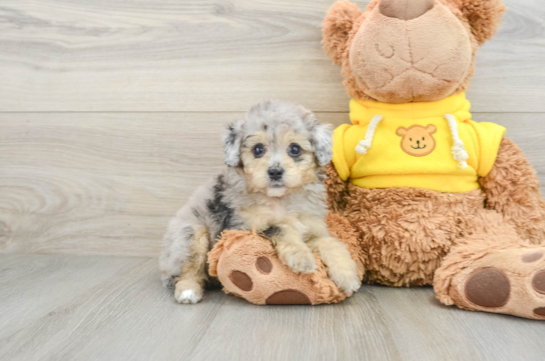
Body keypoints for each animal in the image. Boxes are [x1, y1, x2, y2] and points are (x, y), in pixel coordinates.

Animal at [159, 100, 360, 302]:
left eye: (295, 149)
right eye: (258, 149)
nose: (275, 172)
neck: (280, 200)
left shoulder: (314, 230)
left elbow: (331, 244)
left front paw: (348, 276)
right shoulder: (245, 226)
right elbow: (281, 227)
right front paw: (302, 258)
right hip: (190, 235)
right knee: (187, 270)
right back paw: (188, 291)